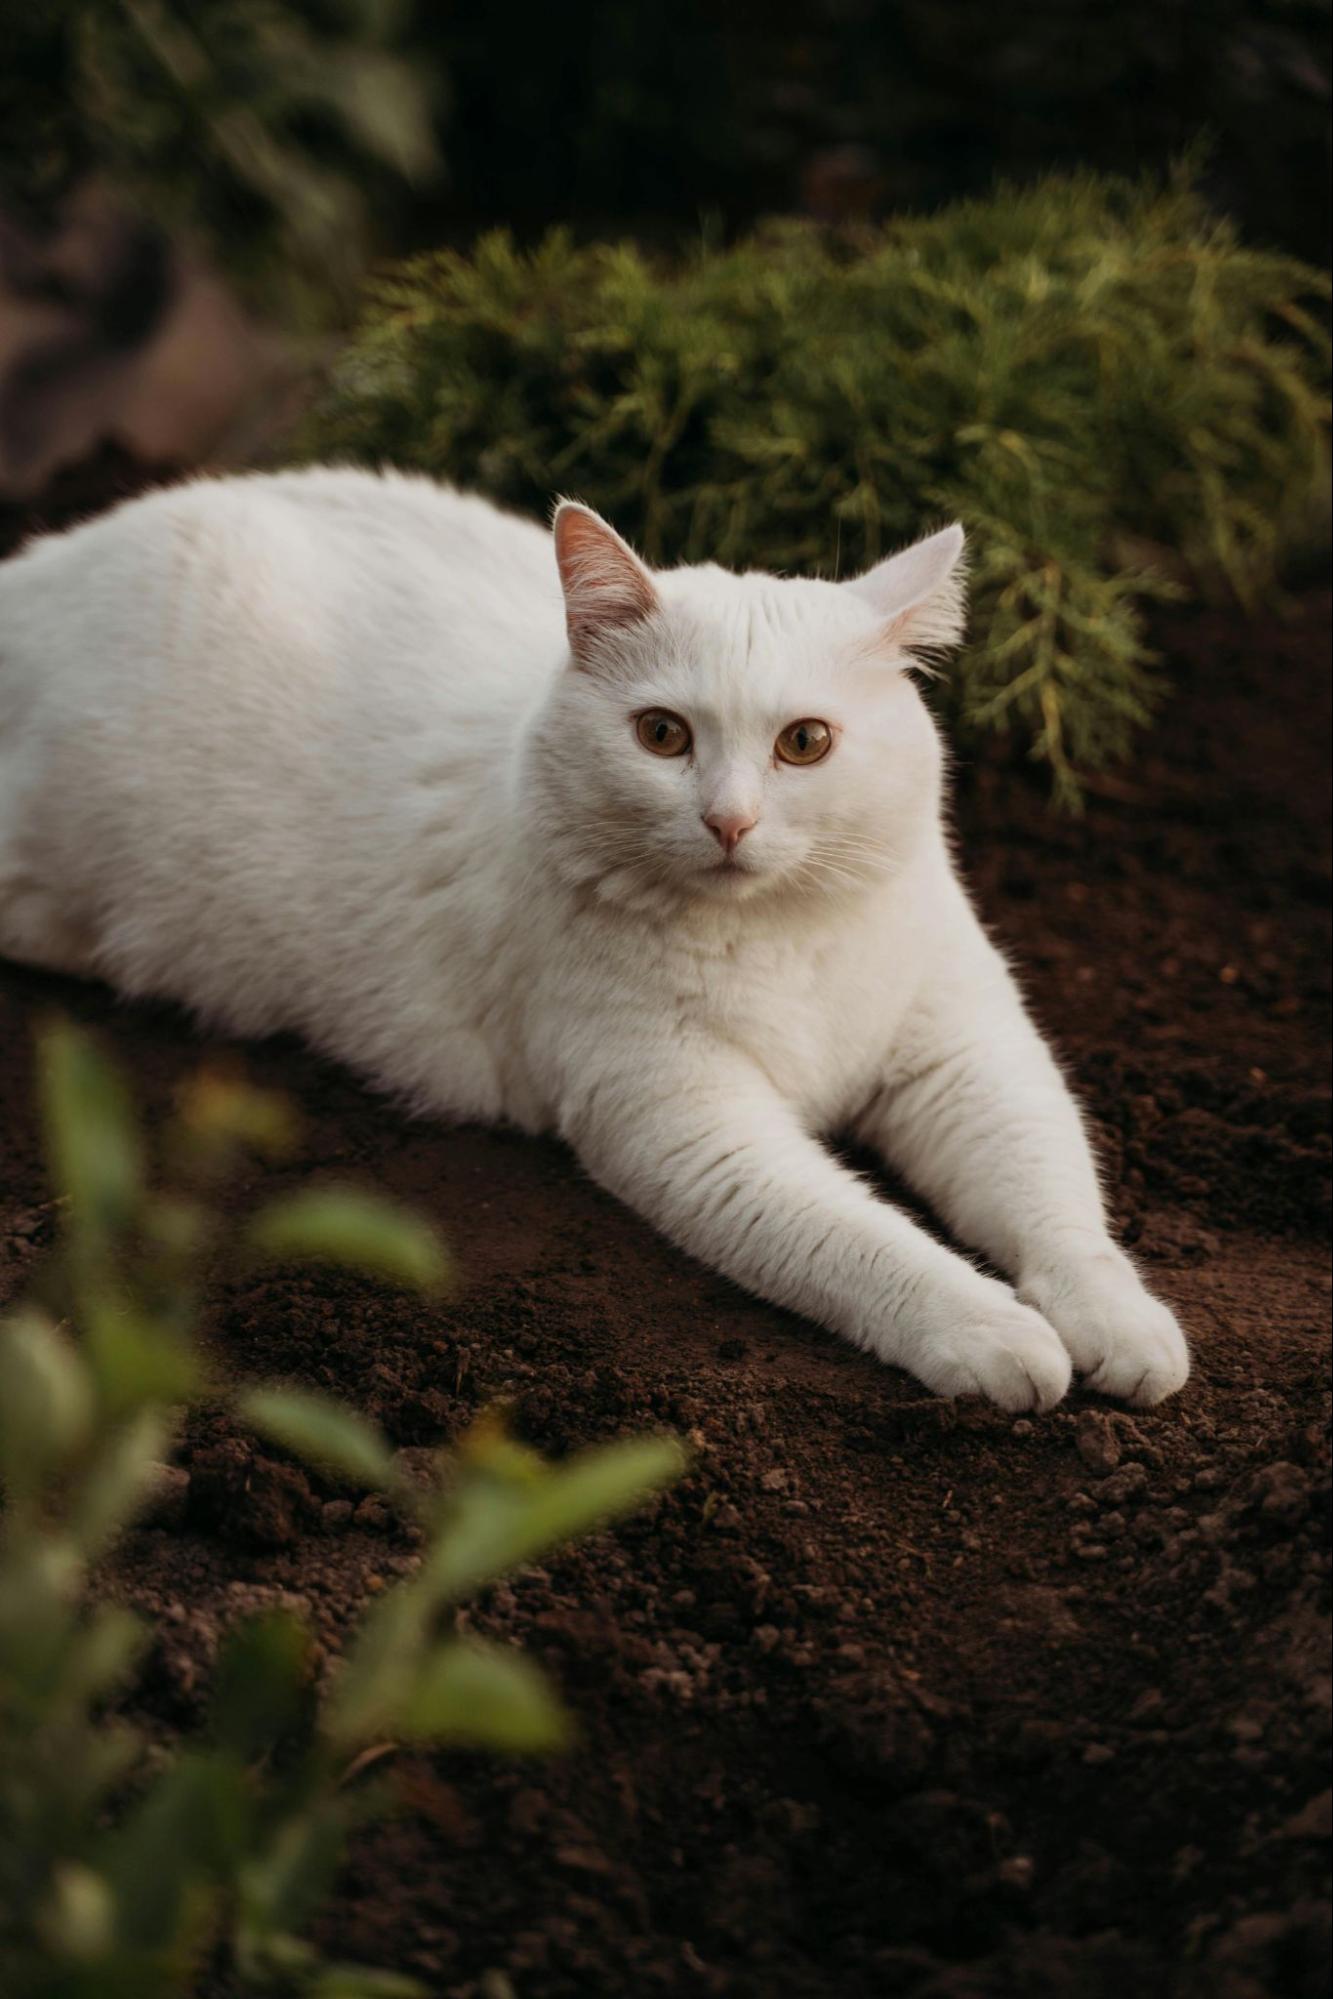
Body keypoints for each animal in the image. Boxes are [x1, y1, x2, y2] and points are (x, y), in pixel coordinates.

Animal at [0, 465, 1191, 1407]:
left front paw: (1117, 1321)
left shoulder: (966, 1057)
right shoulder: (691, 1127)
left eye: (806, 743)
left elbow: (1051, 1189)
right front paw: (988, 1330)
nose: (728, 820)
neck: (780, 935)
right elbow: (862, 1241)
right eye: (661, 736)